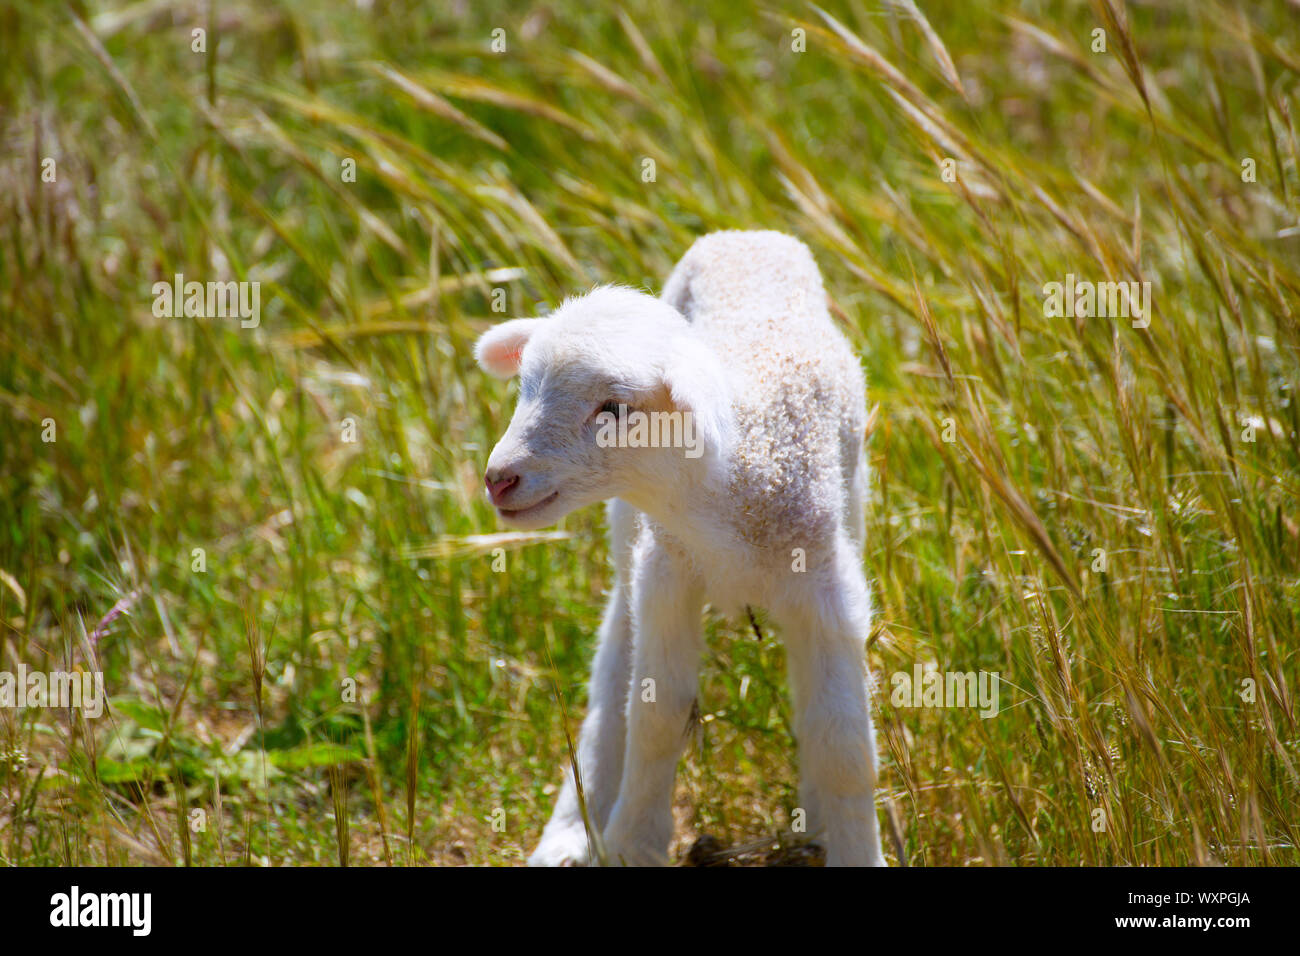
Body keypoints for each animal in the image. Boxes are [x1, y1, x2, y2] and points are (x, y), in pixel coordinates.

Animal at [473, 227, 889, 863]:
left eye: (615, 408)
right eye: (524, 388)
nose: (499, 478)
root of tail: (746, 235)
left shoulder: (826, 585)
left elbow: (842, 744)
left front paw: (856, 845)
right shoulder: (668, 572)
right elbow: (655, 717)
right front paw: (630, 844)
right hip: (630, 540)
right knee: (612, 673)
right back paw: (569, 831)